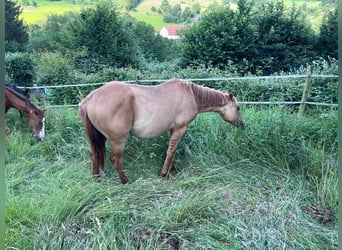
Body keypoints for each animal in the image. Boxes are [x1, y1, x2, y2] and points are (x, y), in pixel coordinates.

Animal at [79, 78, 244, 184]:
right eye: (238, 108)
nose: (242, 125)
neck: (192, 94)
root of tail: (92, 97)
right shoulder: (180, 129)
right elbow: (171, 151)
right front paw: (165, 174)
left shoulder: (172, 129)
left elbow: (172, 150)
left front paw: (173, 170)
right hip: (118, 140)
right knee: (115, 159)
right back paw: (125, 181)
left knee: (94, 154)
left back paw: (96, 179)